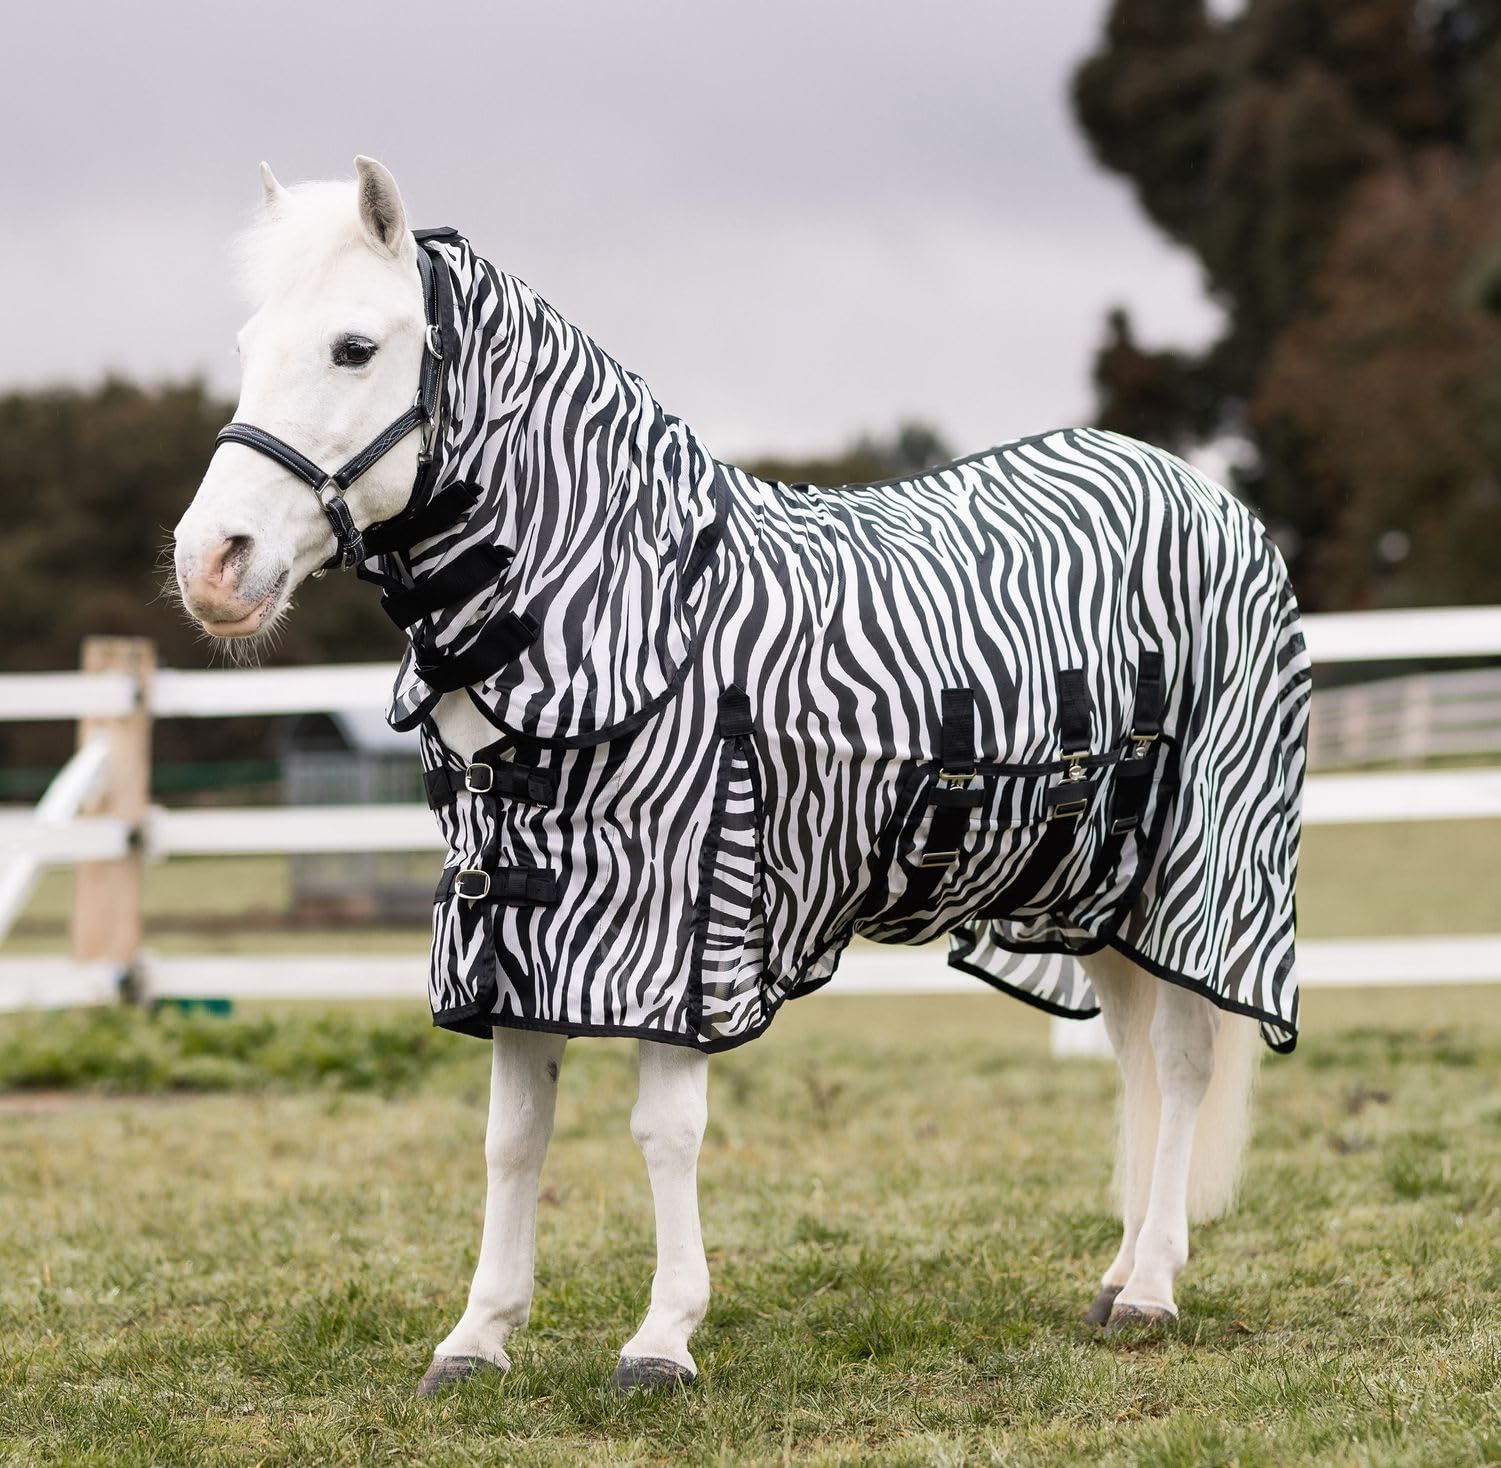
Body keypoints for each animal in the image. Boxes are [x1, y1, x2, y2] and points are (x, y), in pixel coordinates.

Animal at [173, 158, 1310, 1395]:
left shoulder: (684, 912)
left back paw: (1151, 1290)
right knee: (1138, 1064)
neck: (617, 612)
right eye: (247, 343)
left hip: (1200, 875)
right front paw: (477, 1336)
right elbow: (512, 1137)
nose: (210, 563)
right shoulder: (516, 920)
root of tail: (1203, 493)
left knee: (1183, 1061)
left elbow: (664, 1131)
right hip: (1090, 891)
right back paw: (1118, 1273)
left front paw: (662, 1338)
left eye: (353, 348)